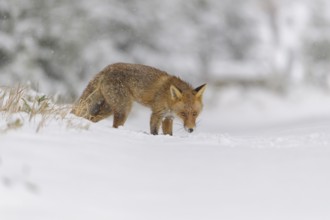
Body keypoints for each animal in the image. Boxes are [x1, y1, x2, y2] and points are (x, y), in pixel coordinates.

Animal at [72, 63, 206, 136]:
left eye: (195, 114)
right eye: (183, 114)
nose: (191, 130)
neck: (167, 97)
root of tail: (105, 69)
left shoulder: (168, 117)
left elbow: (169, 134)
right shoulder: (157, 113)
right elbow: (154, 131)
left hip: (108, 108)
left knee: (90, 118)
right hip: (123, 109)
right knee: (114, 125)